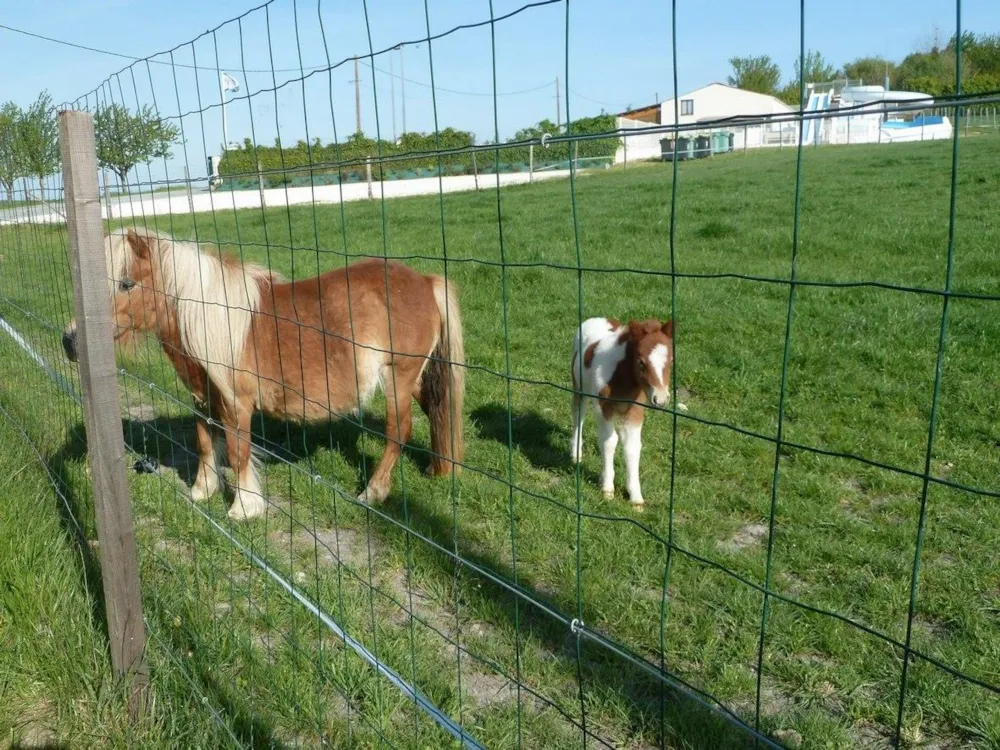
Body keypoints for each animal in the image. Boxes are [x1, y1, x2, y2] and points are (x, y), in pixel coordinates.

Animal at [61, 231, 464, 524]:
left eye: (127, 283)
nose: (70, 341)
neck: (213, 317)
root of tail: (425, 280)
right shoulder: (202, 397)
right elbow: (204, 441)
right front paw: (202, 490)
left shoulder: (236, 404)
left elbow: (238, 452)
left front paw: (243, 507)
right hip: (416, 381)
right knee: (436, 411)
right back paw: (438, 467)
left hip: (398, 379)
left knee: (399, 431)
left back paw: (375, 492)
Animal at [572, 318, 672, 512]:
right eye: (641, 362)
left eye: (671, 361)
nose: (661, 399)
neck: (623, 377)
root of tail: (596, 318)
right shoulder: (604, 407)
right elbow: (609, 442)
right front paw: (607, 489)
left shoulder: (635, 410)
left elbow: (632, 447)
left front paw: (636, 497)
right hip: (579, 387)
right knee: (578, 415)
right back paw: (576, 454)